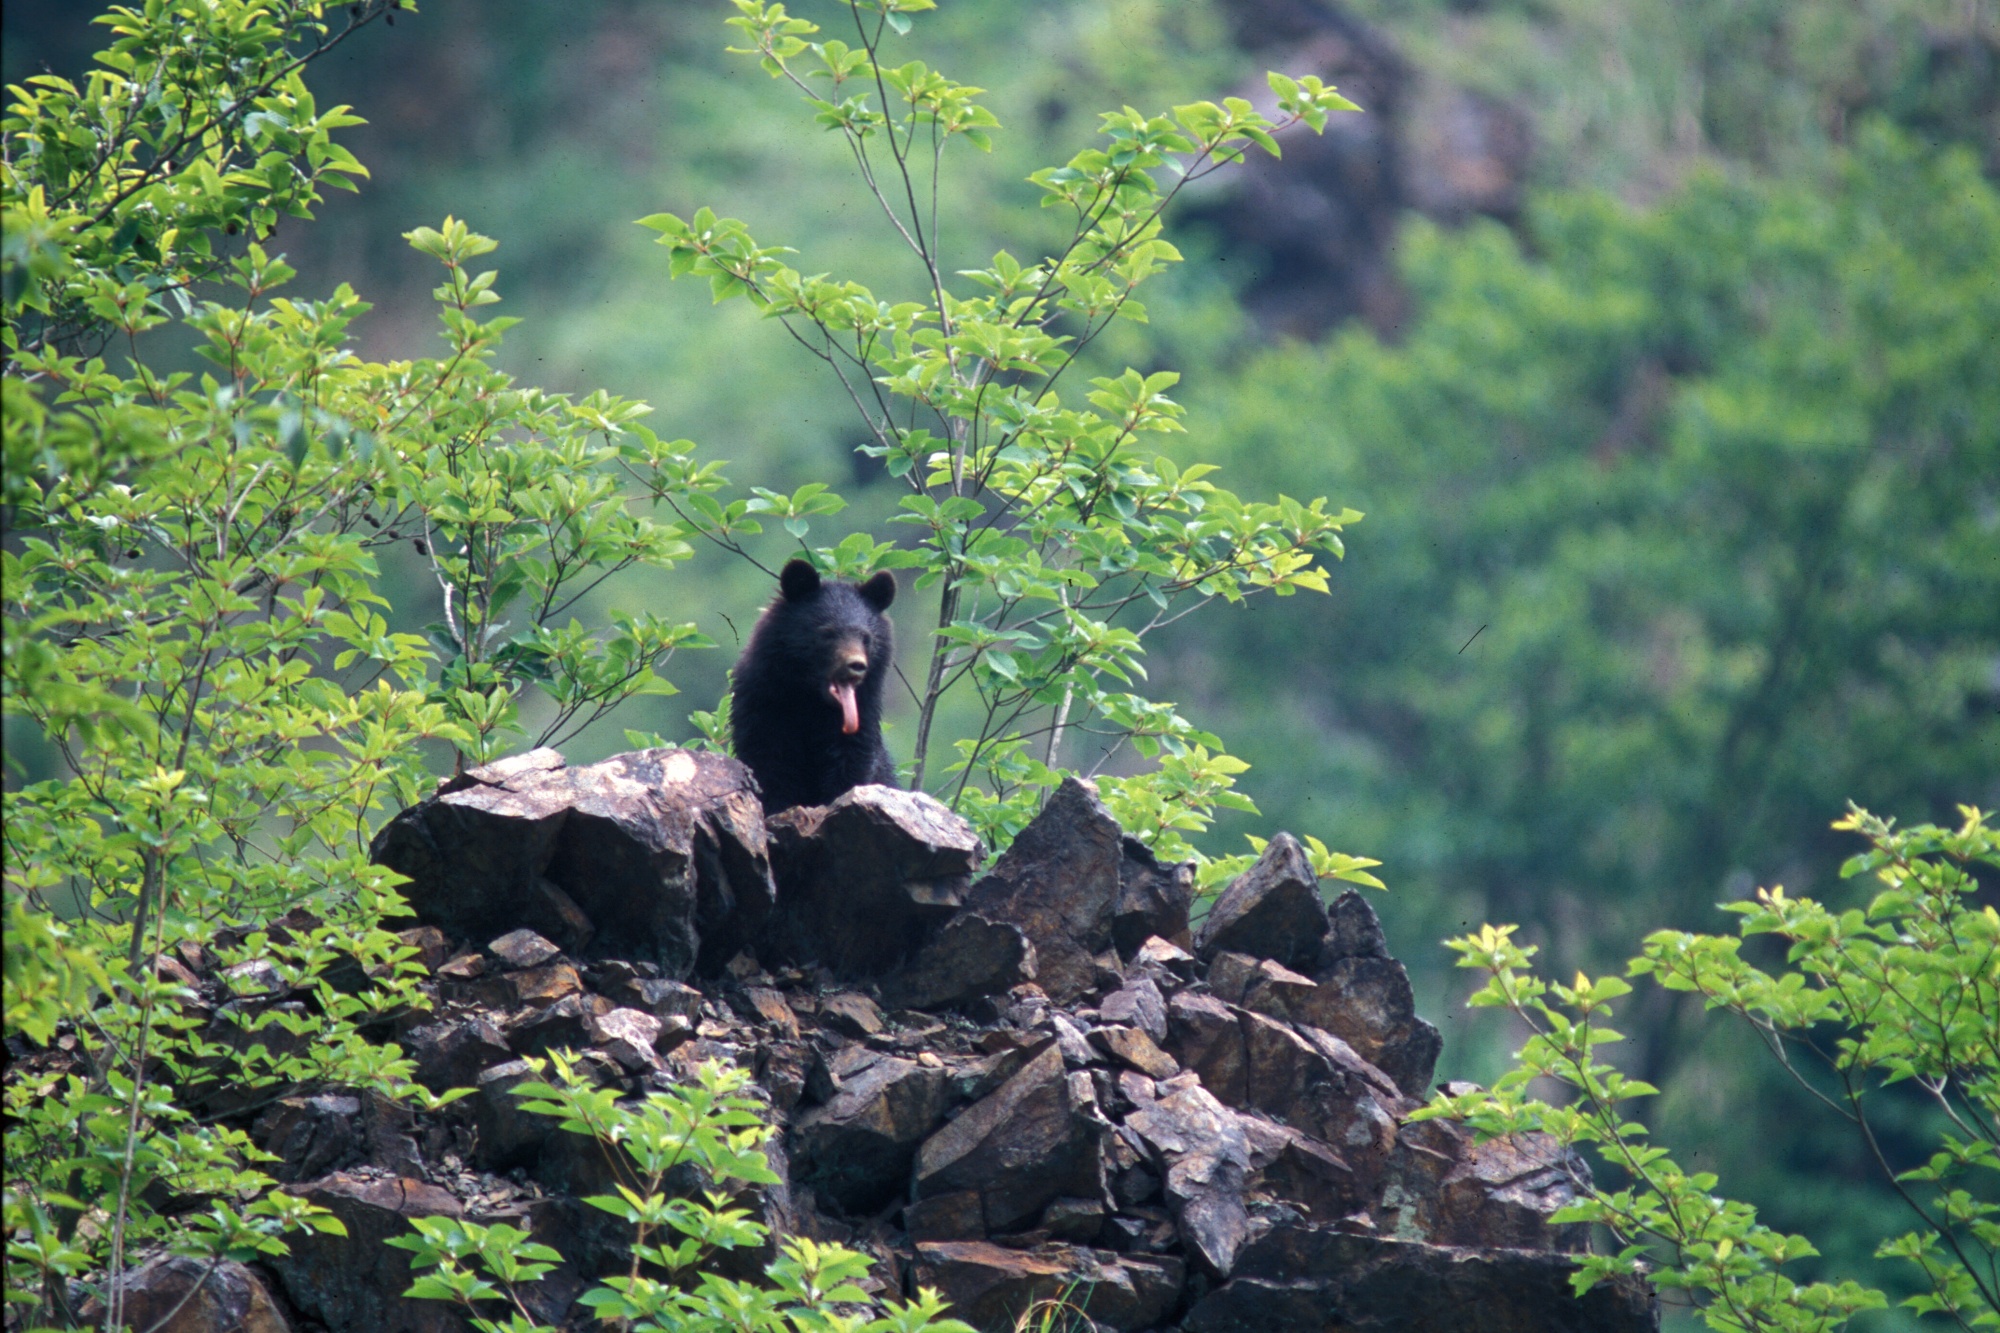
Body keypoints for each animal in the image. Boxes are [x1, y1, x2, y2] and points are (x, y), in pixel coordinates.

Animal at [732, 552, 896, 808]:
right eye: (827, 633)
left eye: (866, 637)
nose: (856, 665)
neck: (809, 699)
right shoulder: (761, 703)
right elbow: (768, 760)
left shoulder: (862, 712)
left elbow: (851, 760)